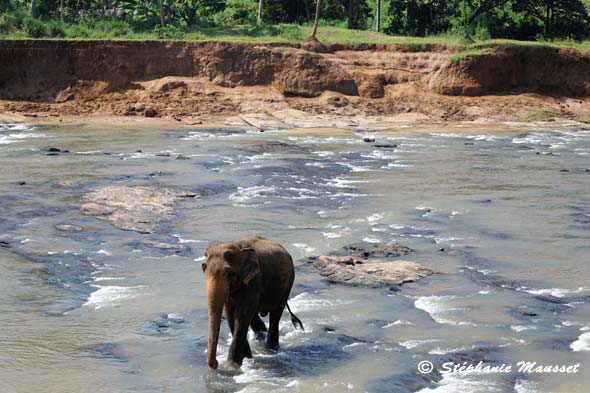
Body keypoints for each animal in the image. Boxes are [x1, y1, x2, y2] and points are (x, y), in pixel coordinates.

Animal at [204, 234, 306, 370]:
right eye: (204, 269)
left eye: (230, 274)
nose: (215, 364)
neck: (239, 247)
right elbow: (230, 314)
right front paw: (247, 357)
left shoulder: (255, 279)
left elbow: (242, 314)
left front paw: (230, 366)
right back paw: (261, 337)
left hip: (288, 282)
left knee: (275, 315)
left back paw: (271, 350)